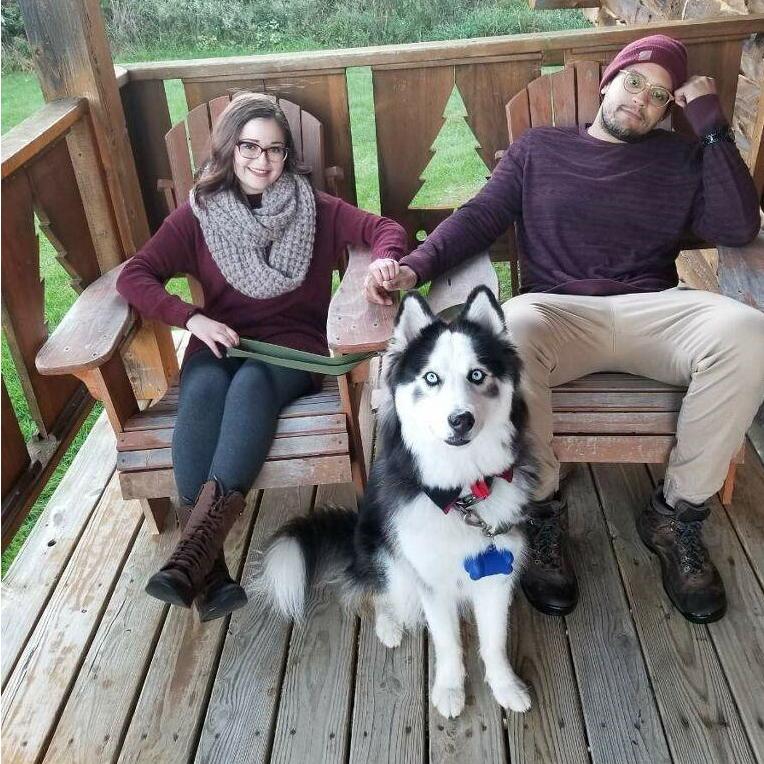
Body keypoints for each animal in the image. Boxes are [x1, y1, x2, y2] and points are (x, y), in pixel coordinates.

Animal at [254, 286, 536, 716]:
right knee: (377, 593)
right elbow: (448, 644)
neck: (462, 494)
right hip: (389, 557)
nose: (461, 420)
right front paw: (449, 689)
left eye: (477, 375)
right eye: (431, 378)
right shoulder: (430, 579)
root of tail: (357, 531)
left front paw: (505, 687)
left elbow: (495, 642)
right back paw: (389, 623)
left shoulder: (497, 577)